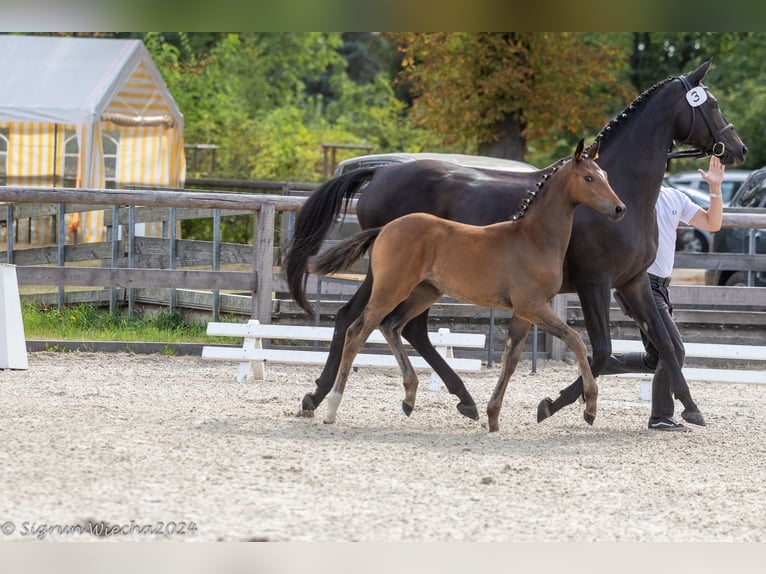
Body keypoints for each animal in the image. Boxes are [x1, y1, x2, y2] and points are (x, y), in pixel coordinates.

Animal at [284, 60, 748, 430]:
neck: (627, 190)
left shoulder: (632, 282)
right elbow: (600, 351)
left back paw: (461, 400)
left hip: (423, 284)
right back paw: (318, 398)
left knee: (404, 327)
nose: (738, 149)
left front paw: (689, 409)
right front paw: (554, 404)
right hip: (391, 278)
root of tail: (379, 174)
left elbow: (665, 346)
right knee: (354, 319)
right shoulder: (594, 283)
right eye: (710, 104)